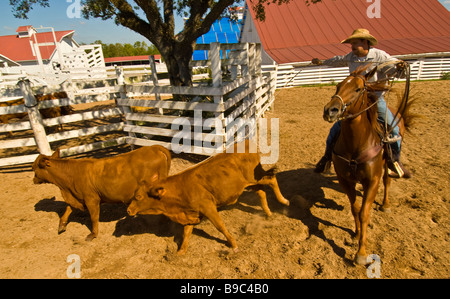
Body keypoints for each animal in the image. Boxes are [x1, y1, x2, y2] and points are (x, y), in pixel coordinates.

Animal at [32, 145, 171, 241]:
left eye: (34, 168)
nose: (33, 180)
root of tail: (154, 148)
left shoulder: (91, 199)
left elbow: (94, 217)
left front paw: (93, 234)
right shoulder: (77, 197)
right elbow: (67, 210)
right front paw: (61, 226)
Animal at [127, 142, 288, 254]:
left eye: (139, 196)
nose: (128, 210)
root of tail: (245, 142)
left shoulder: (208, 207)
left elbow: (220, 226)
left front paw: (233, 244)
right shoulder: (190, 214)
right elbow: (186, 233)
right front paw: (180, 252)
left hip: (255, 177)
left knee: (272, 179)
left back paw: (284, 201)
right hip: (249, 183)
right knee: (261, 192)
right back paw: (268, 213)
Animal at [322, 65, 414, 264]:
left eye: (358, 89)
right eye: (338, 86)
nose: (330, 110)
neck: (356, 144)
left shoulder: (372, 181)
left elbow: (365, 212)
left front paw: (361, 253)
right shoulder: (345, 180)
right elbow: (356, 208)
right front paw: (356, 234)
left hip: (386, 166)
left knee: (387, 181)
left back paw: (385, 205)